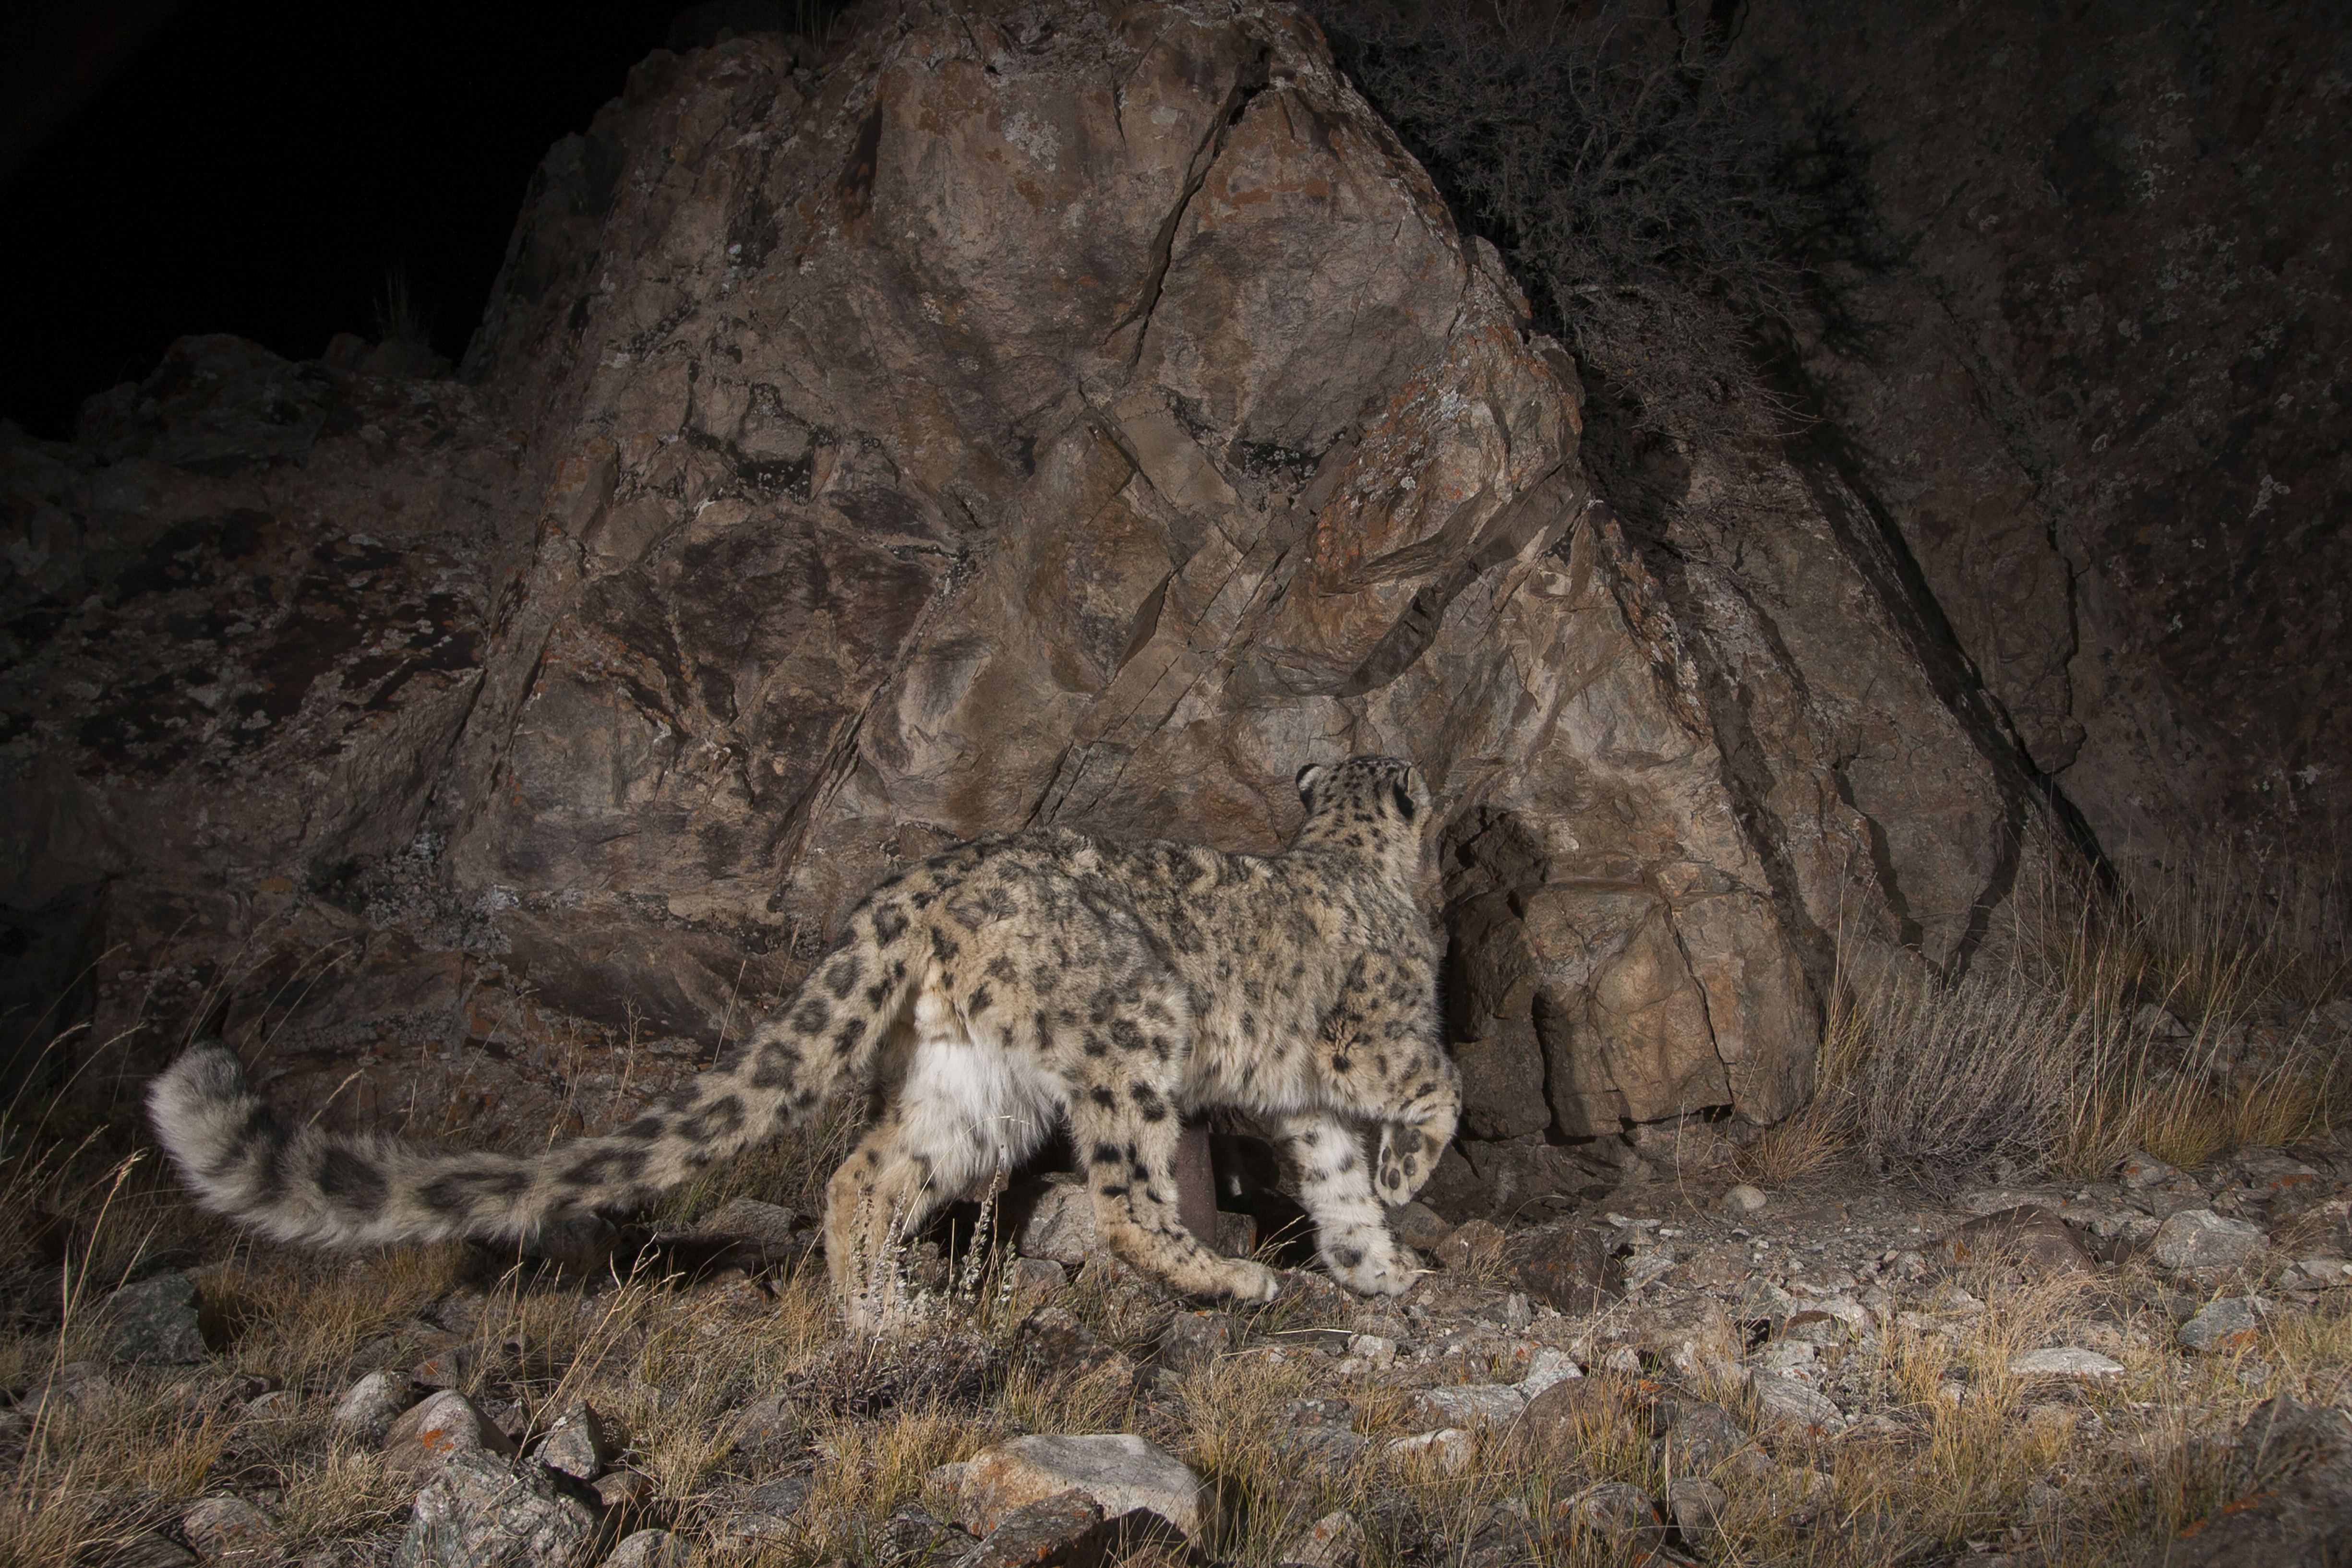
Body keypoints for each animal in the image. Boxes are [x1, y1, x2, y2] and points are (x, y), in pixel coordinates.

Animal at [149, 755, 1462, 1324]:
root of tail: (921, 881)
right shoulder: (1369, 1046)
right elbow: (1436, 1081)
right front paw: (1407, 1185)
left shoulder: (1313, 1108)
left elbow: (1340, 1187)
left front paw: (1384, 1268)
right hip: (1129, 1027)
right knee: (1127, 1194)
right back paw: (1226, 1274)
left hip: (967, 1080)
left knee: (861, 1174)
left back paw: (885, 1314)